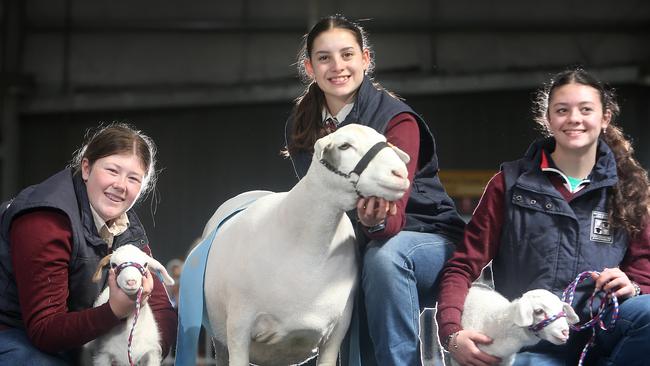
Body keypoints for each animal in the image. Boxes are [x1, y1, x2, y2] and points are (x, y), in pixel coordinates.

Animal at [200, 124, 408, 364]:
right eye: (344, 146)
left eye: (383, 139)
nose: (400, 174)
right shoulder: (238, 328)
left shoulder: (337, 331)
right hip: (220, 339)